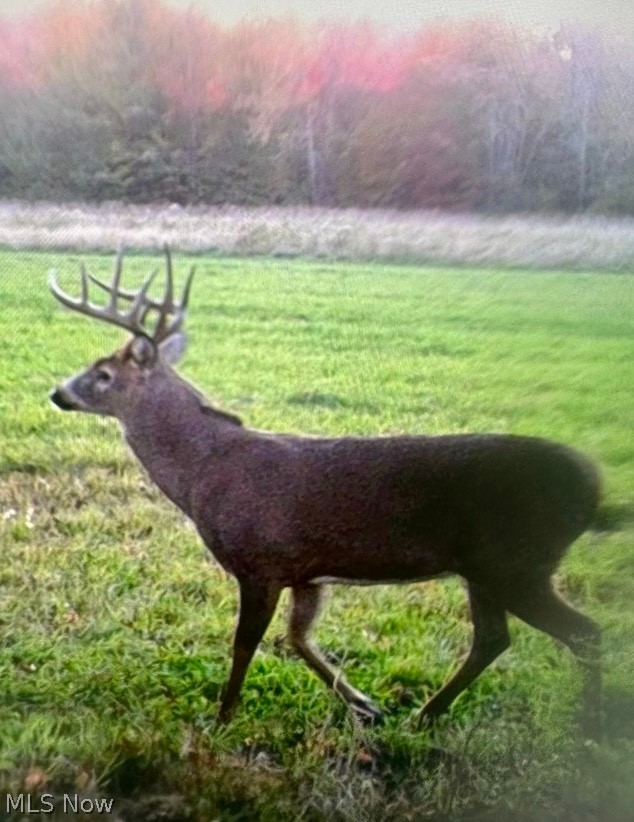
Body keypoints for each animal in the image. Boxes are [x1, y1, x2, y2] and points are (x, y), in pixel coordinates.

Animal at [49, 248, 603, 738]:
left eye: (102, 373)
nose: (57, 392)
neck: (204, 472)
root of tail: (593, 488)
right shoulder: (306, 572)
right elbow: (298, 638)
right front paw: (365, 705)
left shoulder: (261, 561)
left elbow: (245, 644)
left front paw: (221, 722)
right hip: (486, 567)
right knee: (493, 638)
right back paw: (425, 715)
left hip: (518, 562)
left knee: (584, 633)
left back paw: (589, 728)